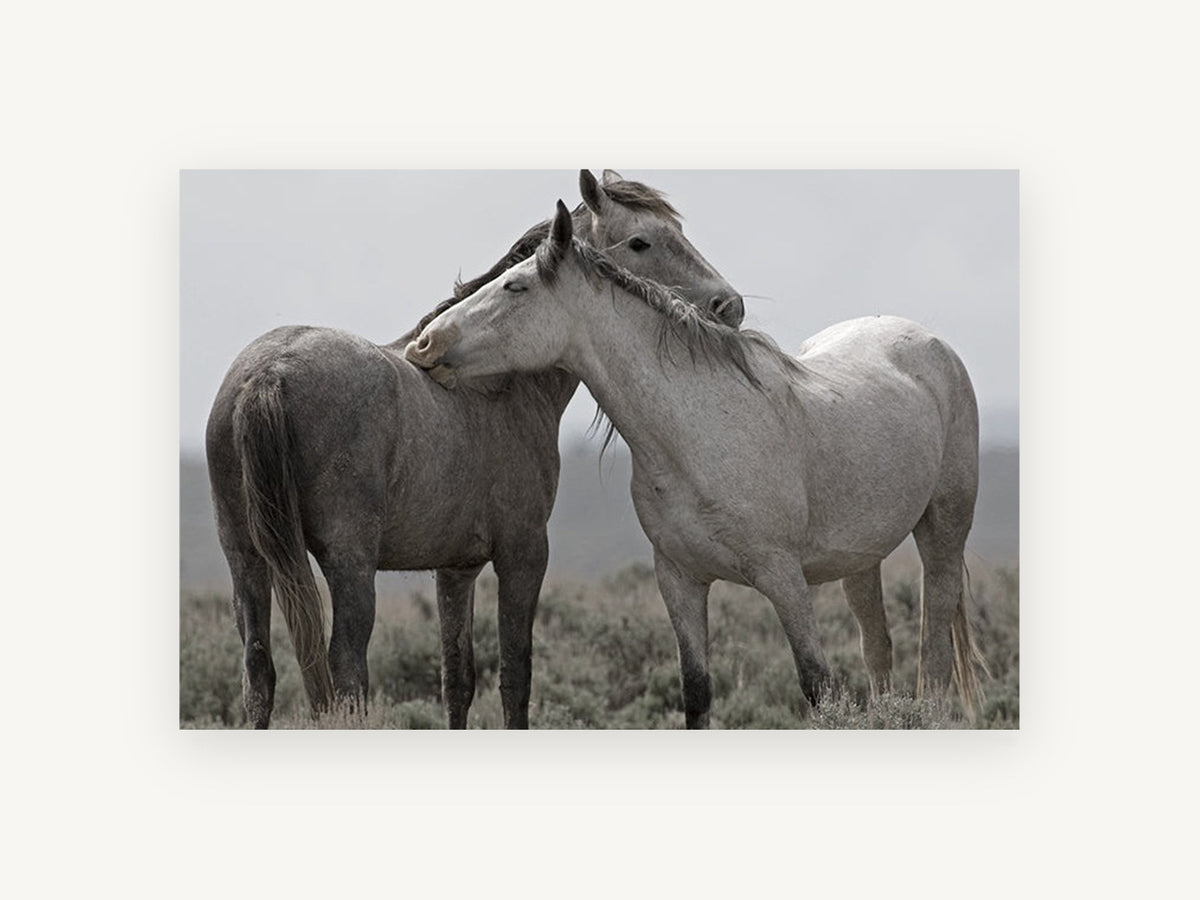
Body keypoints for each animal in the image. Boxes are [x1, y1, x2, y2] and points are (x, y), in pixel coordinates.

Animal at [205, 171, 744, 728]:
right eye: (641, 241)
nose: (730, 307)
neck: (497, 381)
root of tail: (270, 372)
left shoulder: (455, 569)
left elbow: (457, 679)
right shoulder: (523, 554)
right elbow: (514, 677)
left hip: (246, 559)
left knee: (259, 670)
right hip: (348, 563)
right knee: (346, 671)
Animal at [406, 200, 986, 728]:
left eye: (515, 288)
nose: (425, 343)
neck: (697, 433)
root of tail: (932, 345)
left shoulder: (784, 579)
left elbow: (818, 688)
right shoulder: (680, 580)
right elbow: (696, 692)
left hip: (942, 531)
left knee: (934, 654)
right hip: (860, 559)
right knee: (878, 647)